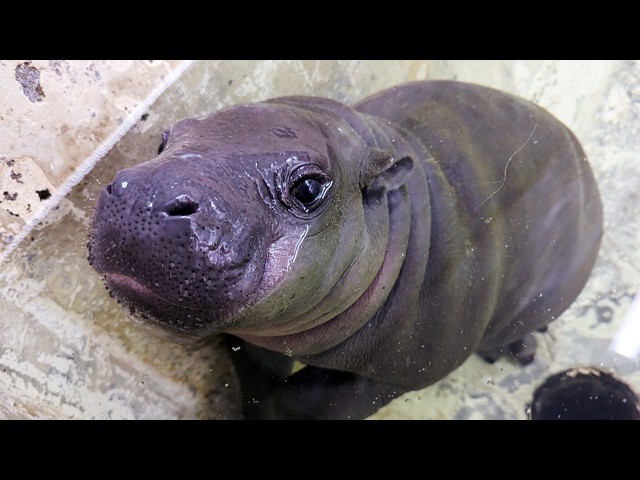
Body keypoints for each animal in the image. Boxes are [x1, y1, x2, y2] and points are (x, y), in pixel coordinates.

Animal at [88, 80, 603, 419]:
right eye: (165, 139)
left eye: (308, 187)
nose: (144, 195)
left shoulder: (396, 374)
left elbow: (302, 402)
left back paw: (518, 350)